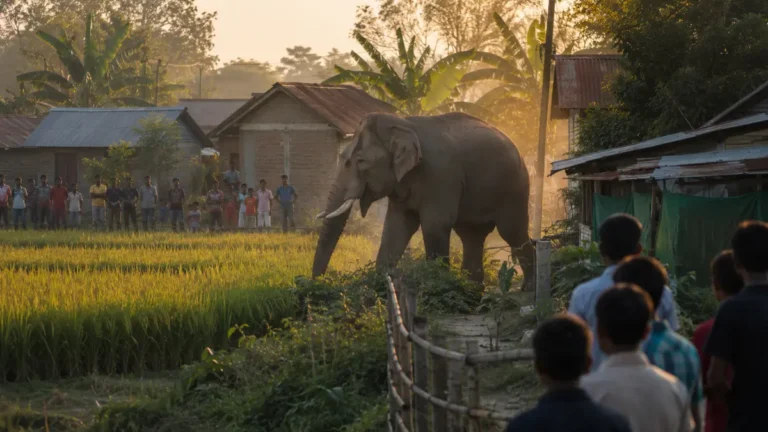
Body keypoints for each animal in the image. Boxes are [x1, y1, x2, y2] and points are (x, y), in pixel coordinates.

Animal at [312, 112, 534, 286]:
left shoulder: (441, 175)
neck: (404, 125)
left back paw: (527, 288)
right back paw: (471, 292)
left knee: (512, 231)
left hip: (514, 188)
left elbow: (435, 225)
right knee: (471, 236)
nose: (316, 284)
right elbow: (396, 226)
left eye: (360, 161)